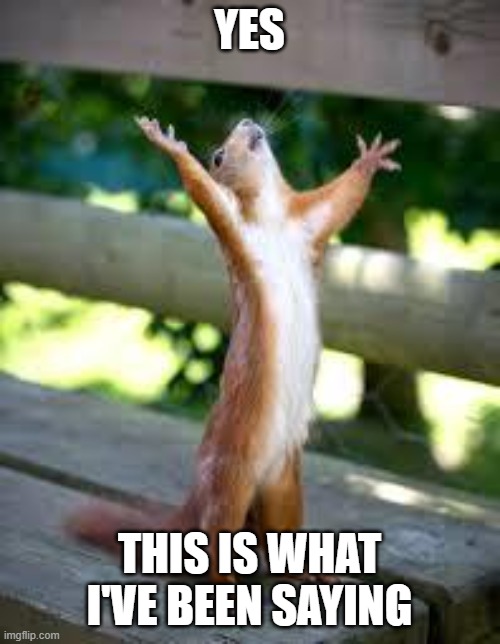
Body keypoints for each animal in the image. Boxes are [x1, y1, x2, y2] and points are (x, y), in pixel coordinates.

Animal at [68, 117, 400, 583]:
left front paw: (370, 159)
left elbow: (342, 199)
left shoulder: (309, 222)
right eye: (218, 155)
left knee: (282, 533)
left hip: (284, 486)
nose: (247, 121)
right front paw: (170, 145)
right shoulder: (236, 229)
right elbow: (204, 194)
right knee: (214, 539)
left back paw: (311, 574)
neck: (275, 220)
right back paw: (225, 582)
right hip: (229, 480)